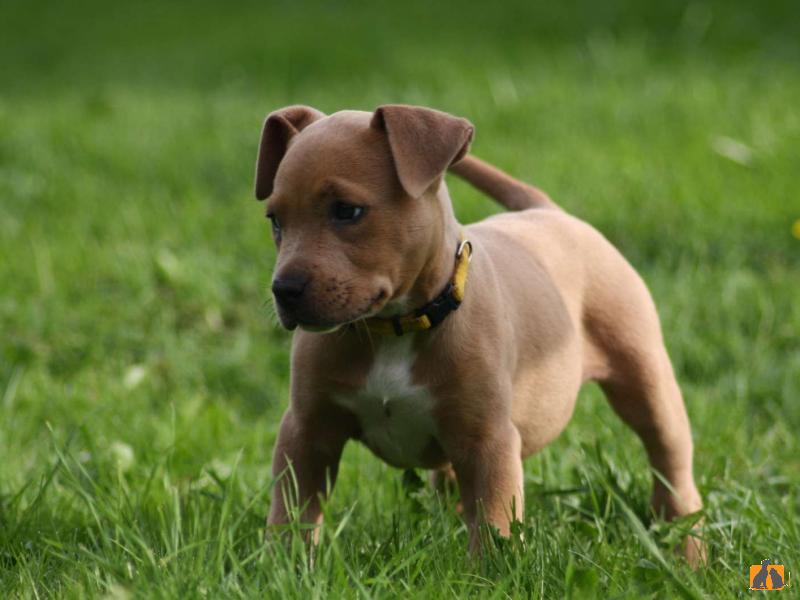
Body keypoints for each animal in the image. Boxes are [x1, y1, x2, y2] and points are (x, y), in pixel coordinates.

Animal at [254, 104, 704, 563]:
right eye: (275, 221)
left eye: (347, 211)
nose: (284, 290)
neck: (394, 328)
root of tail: (548, 212)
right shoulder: (307, 431)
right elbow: (292, 513)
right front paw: (284, 566)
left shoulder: (488, 441)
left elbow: (492, 527)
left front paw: (487, 572)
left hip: (644, 376)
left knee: (670, 463)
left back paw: (688, 548)